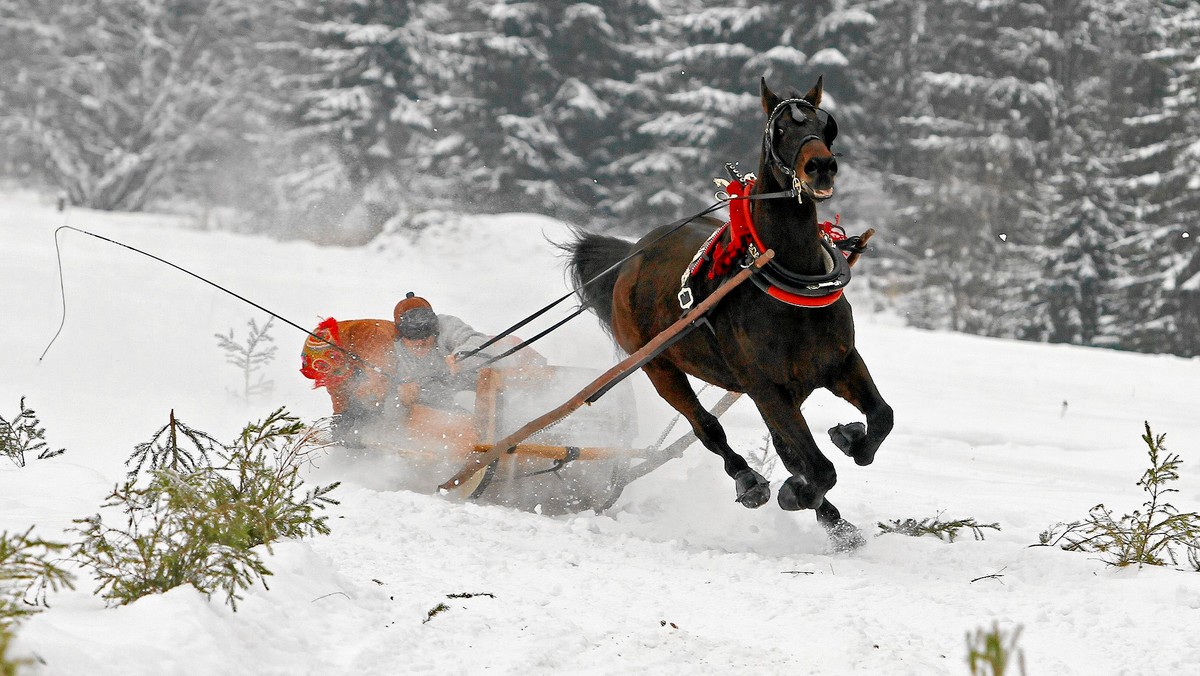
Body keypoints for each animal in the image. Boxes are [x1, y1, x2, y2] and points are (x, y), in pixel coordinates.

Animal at [561, 76, 892, 547]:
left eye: (826, 126)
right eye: (780, 130)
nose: (821, 167)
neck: (791, 280)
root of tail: (631, 257)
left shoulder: (839, 364)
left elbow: (880, 420)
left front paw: (849, 438)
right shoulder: (765, 388)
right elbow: (819, 468)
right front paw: (794, 493)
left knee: (788, 449)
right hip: (659, 367)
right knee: (706, 427)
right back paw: (751, 481)